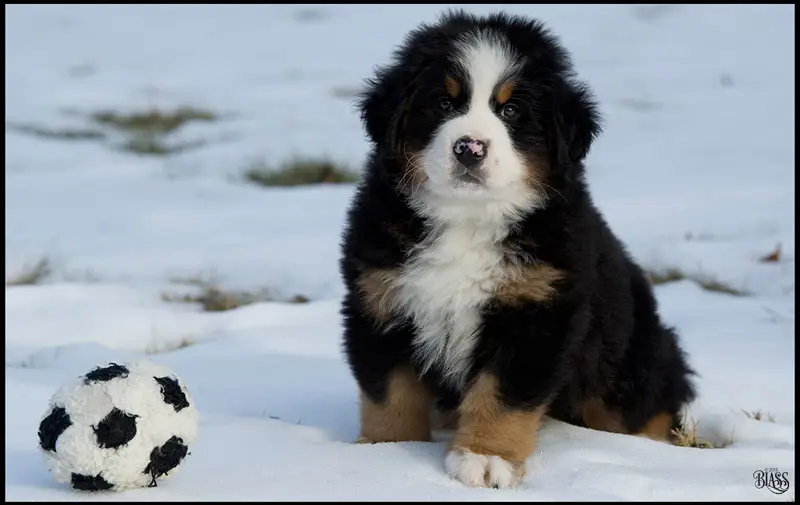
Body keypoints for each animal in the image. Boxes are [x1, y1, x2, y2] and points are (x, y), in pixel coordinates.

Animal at [338, 8, 692, 488]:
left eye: (511, 110)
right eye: (444, 104)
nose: (469, 148)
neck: (467, 218)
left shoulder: (535, 313)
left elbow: (501, 397)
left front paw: (486, 458)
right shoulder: (379, 299)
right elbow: (389, 392)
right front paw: (383, 454)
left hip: (626, 364)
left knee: (648, 409)